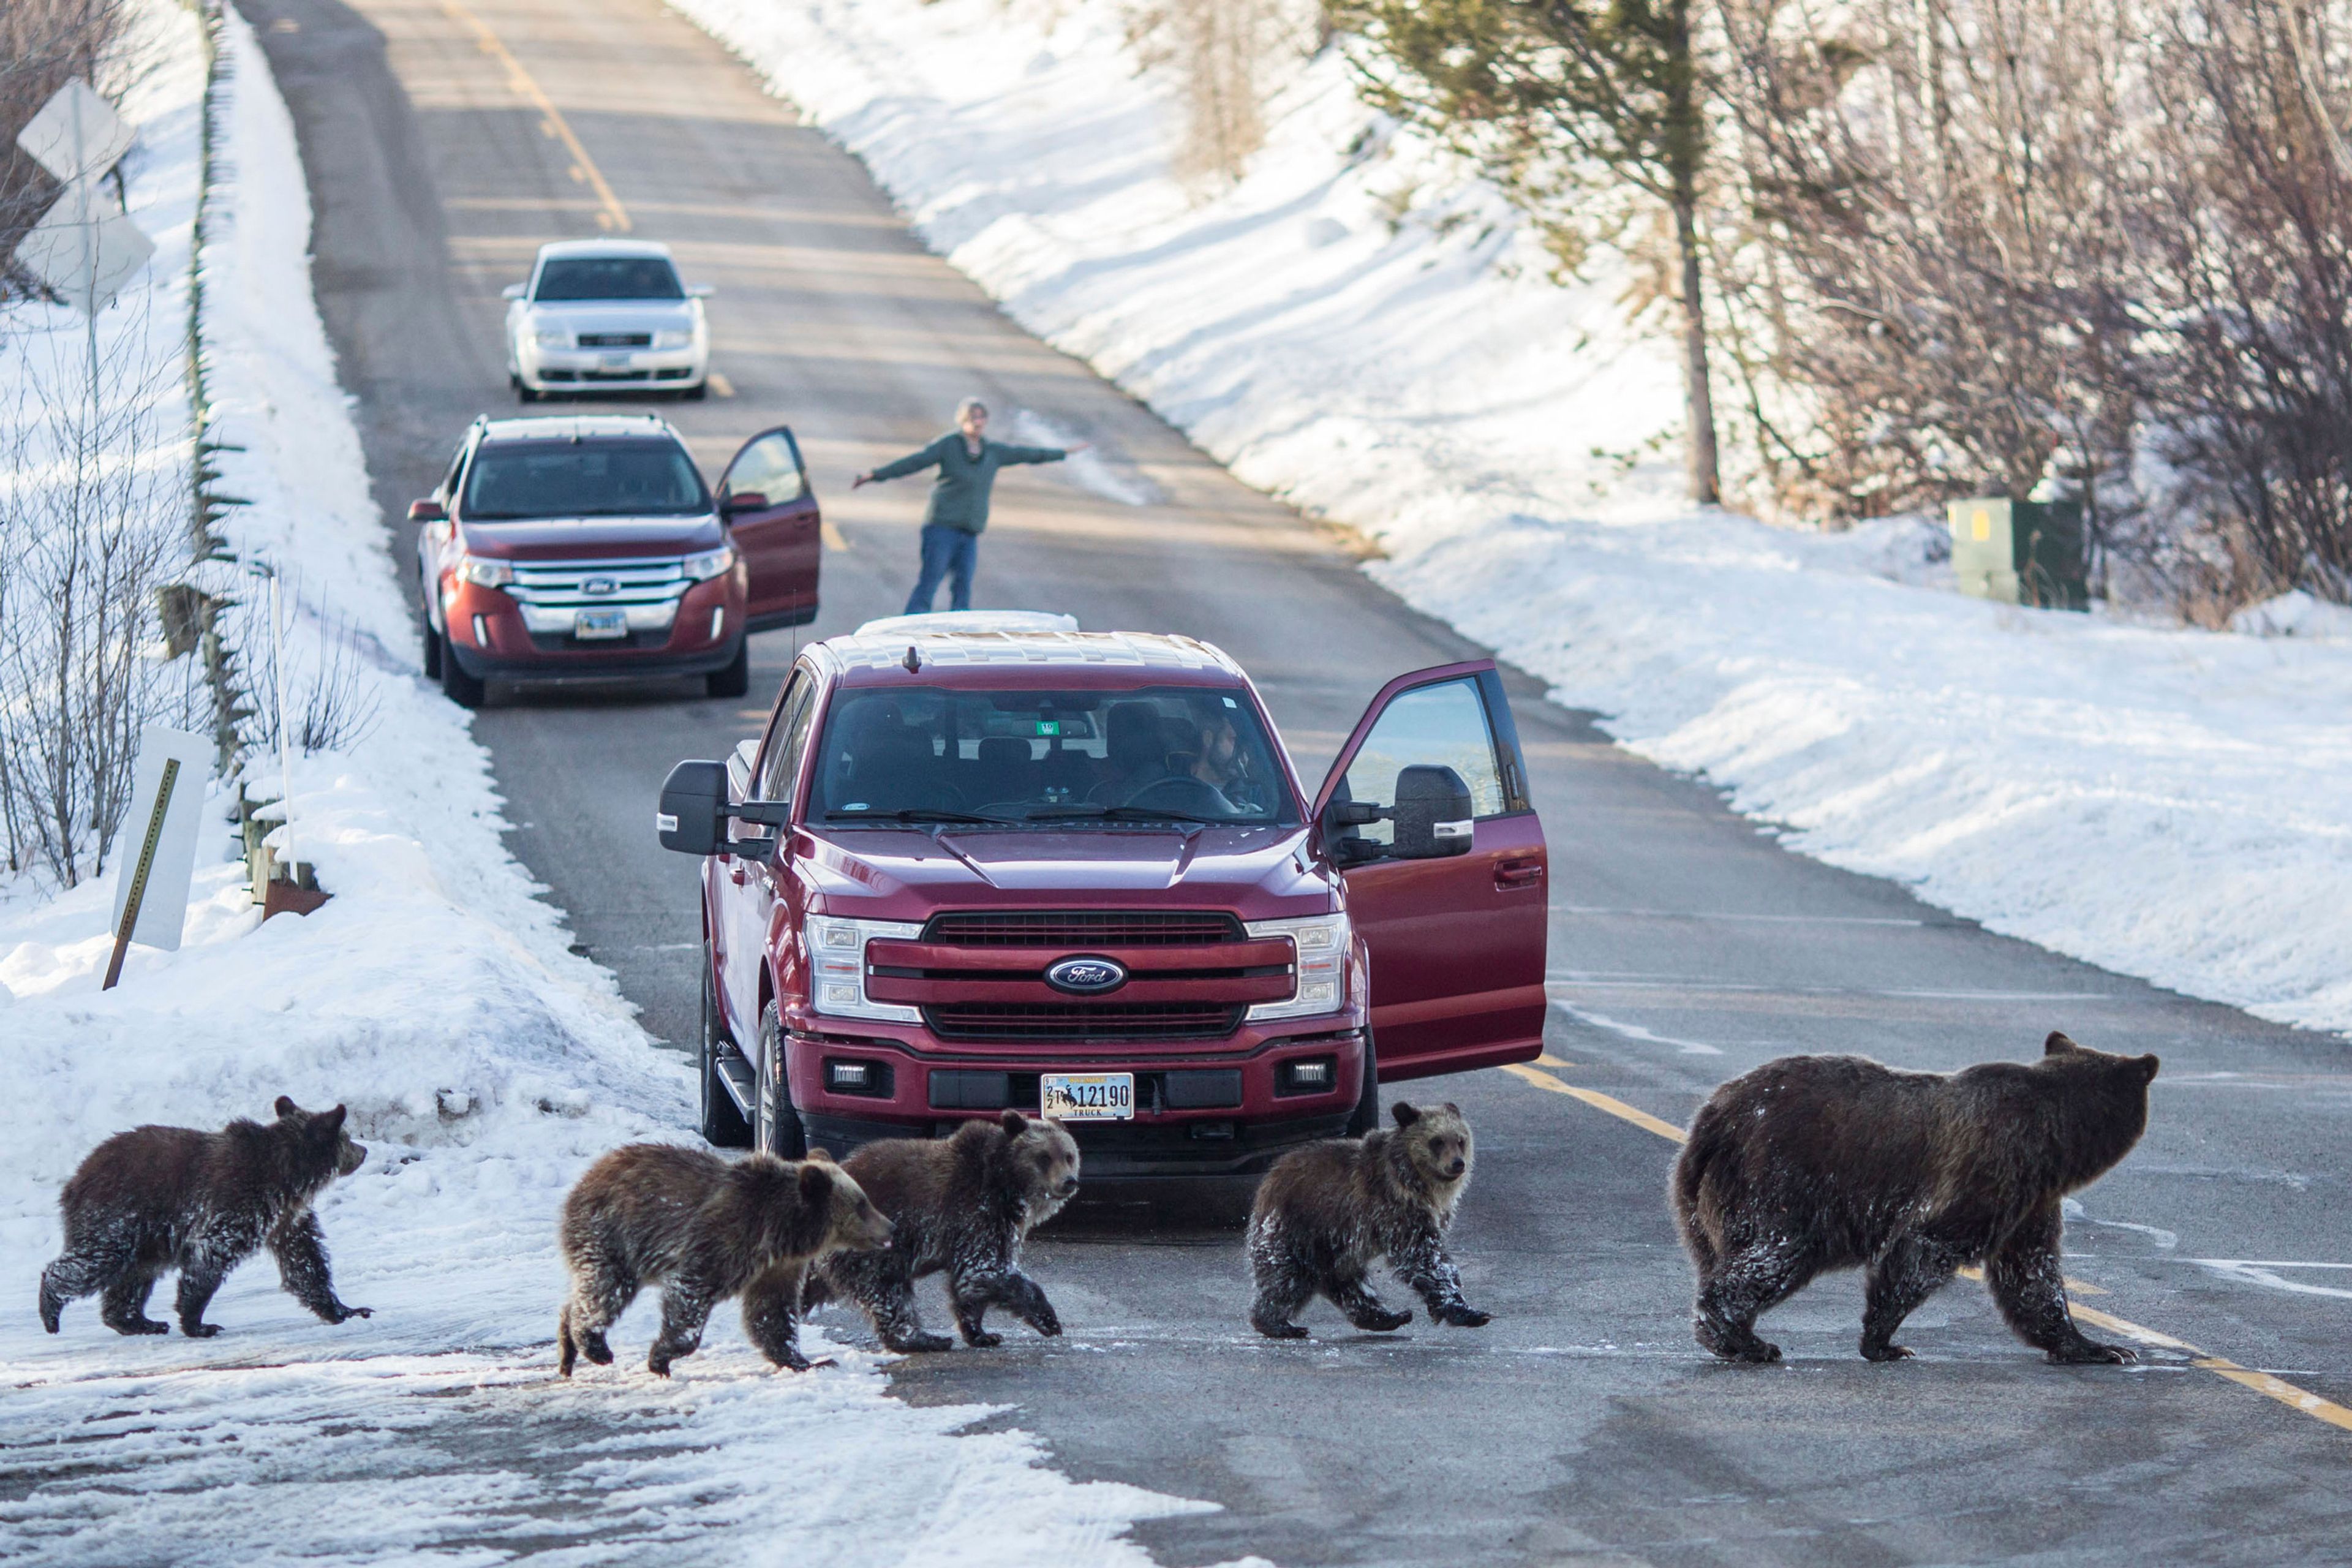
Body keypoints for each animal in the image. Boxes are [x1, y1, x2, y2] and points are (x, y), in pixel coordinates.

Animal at [39, 1104, 371, 1335]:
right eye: (346, 1137)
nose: (365, 1150)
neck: (287, 1178)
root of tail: (76, 1177)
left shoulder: (285, 1220)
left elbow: (306, 1264)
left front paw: (348, 1309)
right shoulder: (238, 1202)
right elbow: (211, 1255)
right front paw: (198, 1323)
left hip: (146, 1238)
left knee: (135, 1276)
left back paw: (140, 1322)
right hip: (119, 1214)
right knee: (95, 1260)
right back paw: (51, 1307)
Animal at [555, 1147, 894, 1382]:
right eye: (862, 1204)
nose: (891, 1227)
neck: (781, 1231)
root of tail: (586, 1178)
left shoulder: (777, 1269)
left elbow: (771, 1314)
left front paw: (809, 1360)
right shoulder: (721, 1242)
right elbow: (690, 1298)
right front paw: (661, 1358)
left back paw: (567, 1350)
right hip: (613, 1235)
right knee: (607, 1291)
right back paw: (595, 1346)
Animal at [794, 1109, 1077, 1354]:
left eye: (1069, 1155)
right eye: (1045, 1157)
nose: (1069, 1182)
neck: (1005, 1183)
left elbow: (972, 1285)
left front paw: (982, 1333)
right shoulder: (976, 1211)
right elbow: (987, 1269)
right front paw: (1049, 1319)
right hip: (871, 1244)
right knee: (889, 1292)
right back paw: (924, 1339)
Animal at [1242, 1100, 1477, 1344]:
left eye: (1461, 1140)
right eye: (1437, 1141)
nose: (1457, 1164)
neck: (1417, 1183)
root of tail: (1270, 1176)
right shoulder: (1394, 1210)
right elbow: (1425, 1257)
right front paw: (1464, 1310)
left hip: (1334, 1247)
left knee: (1349, 1284)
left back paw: (1389, 1316)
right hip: (1300, 1227)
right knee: (1286, 1276)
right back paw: (1277, 1323)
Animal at [1675, 1030, 2163, 1363]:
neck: (2056, 1143)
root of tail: (1713, 1116)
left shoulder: (2031, 1201)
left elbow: (2033, 1274)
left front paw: (2096, 1346)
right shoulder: (1993, 1169)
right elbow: (1928, 1246)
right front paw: (1885, 1342)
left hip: (1702, 1202)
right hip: (1780, 1178)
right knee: (1775, 1254)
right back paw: (1745, 1340)